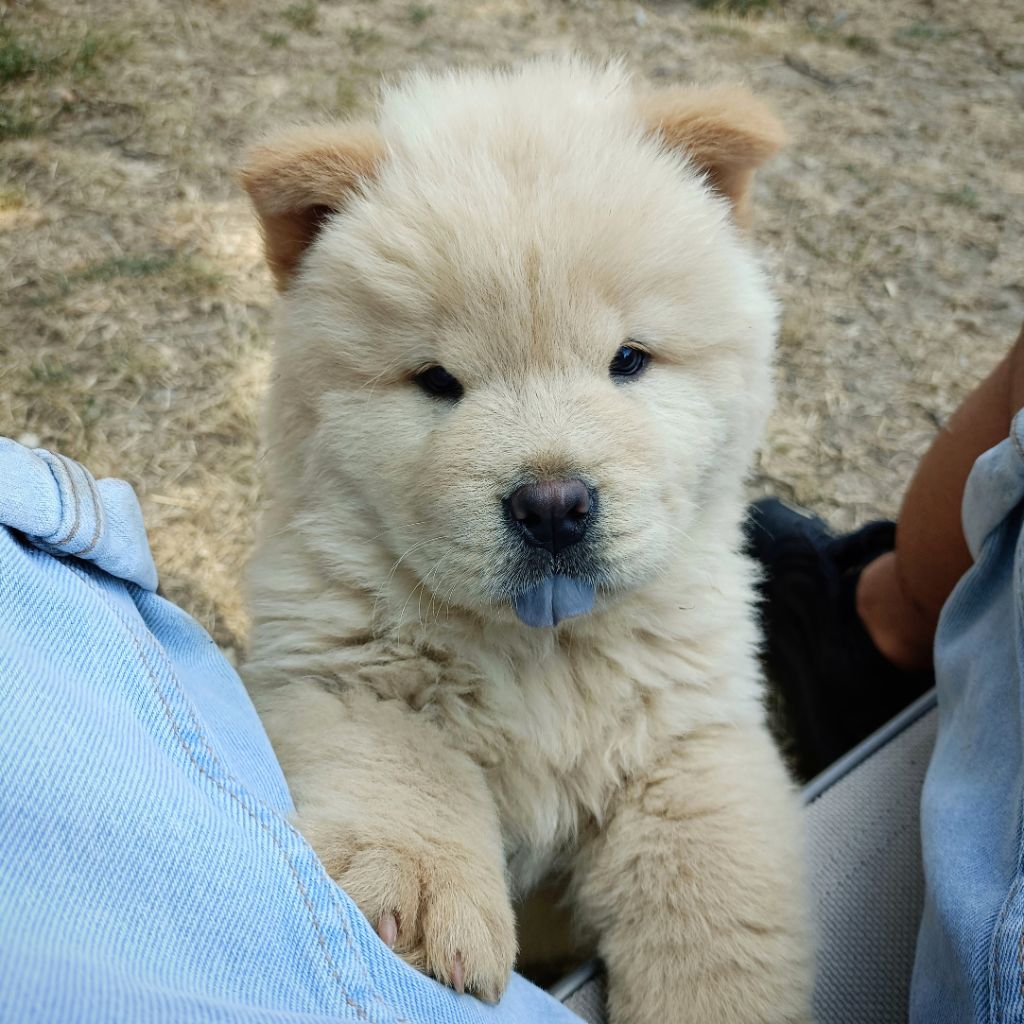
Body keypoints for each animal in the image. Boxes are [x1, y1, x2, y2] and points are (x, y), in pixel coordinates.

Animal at [237, 59, 806, 1024]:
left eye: (628, 360)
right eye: (437, 380)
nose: (552, 504)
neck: (544, 654)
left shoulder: (690, 730)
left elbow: (713, 895)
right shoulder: (337, 672)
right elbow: (408, 770)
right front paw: (423, 908)